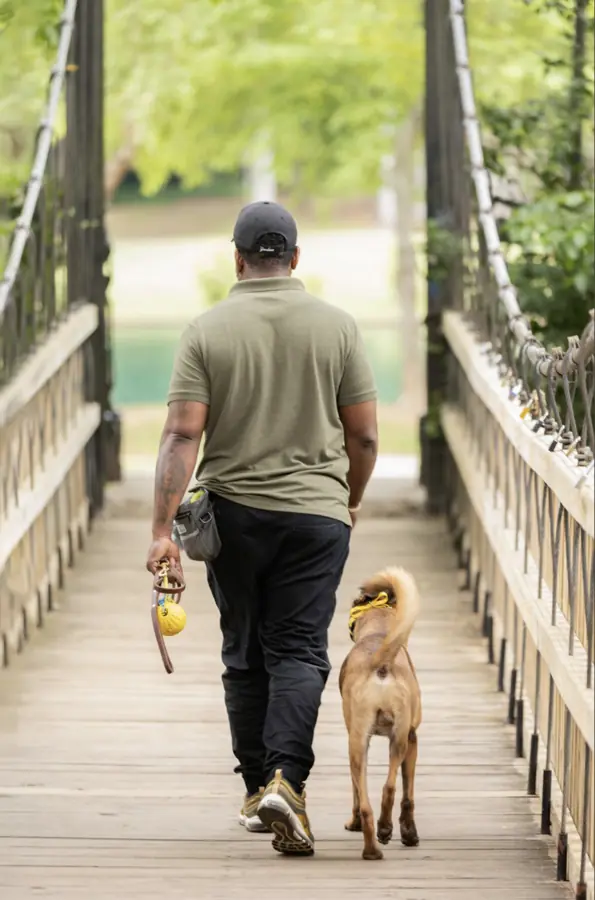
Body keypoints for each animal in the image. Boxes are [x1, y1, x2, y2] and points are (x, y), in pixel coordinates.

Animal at [340, 568, 424, 856]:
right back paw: (385, 830)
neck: (378, 634)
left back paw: (372, 848)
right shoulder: (412, 738)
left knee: (366, 802)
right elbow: (408, 794)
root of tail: (381, 662)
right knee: (389, 787)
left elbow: (357, 792)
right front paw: (409, 833)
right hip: (396, 739)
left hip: (357, 744)